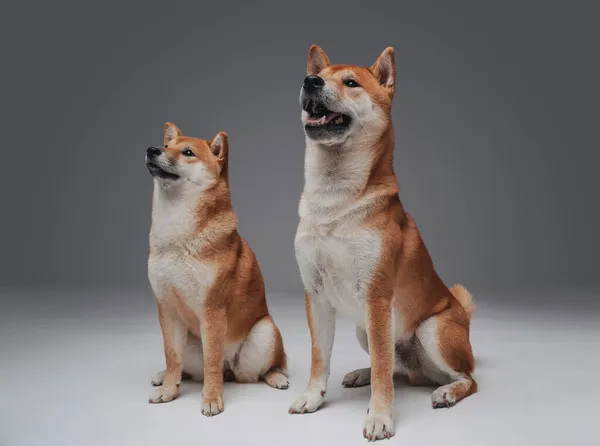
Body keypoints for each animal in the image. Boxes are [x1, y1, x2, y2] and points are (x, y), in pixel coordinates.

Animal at [144, 121, 288, 414]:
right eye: (166, 146)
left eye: (188, 152)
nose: (152, 150)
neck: (176, 236)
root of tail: (230, 371)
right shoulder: (166, 308)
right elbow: (171, 356)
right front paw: (168, 389)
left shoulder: (212, 310)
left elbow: (211, 362)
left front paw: (211, 398)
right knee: (185, 368)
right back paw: (163, 376)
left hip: (265, 333)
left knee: (260, 369)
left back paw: (276, 377)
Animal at [288, 47, 476, 440]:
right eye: (319, 76)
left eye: (351, 82)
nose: (310, 81)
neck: (334, 201)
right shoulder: (315, 294)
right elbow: (319, 357)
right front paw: (312, 397)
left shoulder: (375, 296)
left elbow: (382, 376)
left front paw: (379, 417)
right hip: (365, 329)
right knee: (394, 368)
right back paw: (364, 374)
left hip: (430, 329)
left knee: (465, 377)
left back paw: (448, 392)